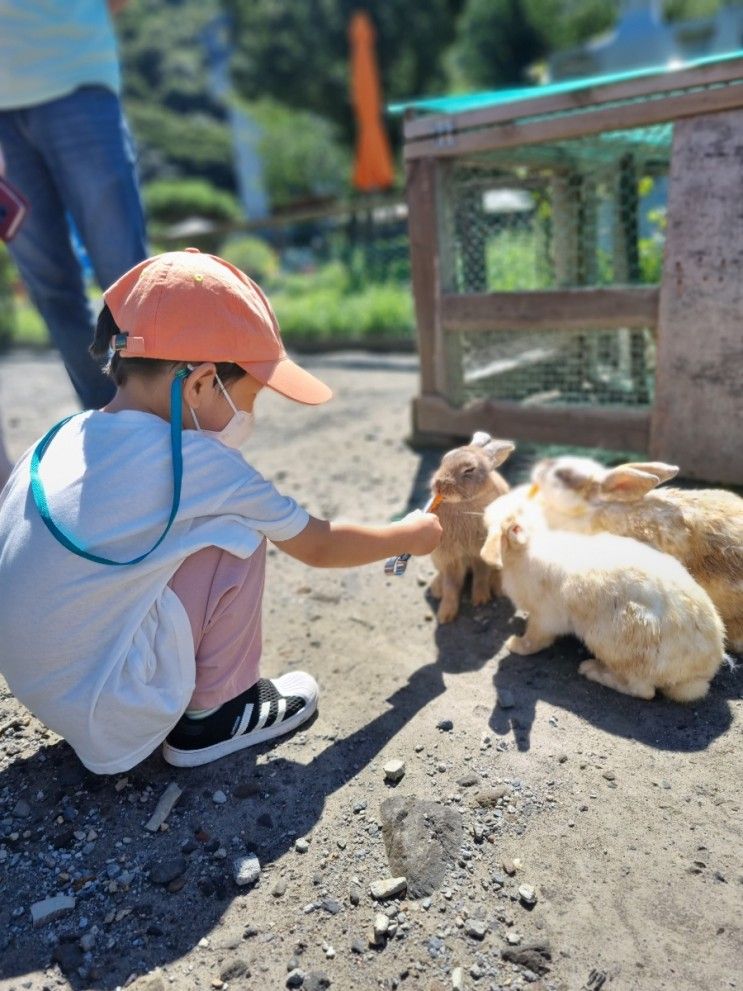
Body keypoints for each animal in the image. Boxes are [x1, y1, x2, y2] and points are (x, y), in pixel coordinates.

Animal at [428, 432, 516, 624]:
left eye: (469, 470)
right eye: (444, 459)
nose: (438, 484)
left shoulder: (479, 554)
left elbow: (481, 576)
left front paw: (480, 599)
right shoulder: (450, 558)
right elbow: (451, 585)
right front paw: (445, 615)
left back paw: (499, 589)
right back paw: (436, 589)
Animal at [480, 492, 728, 700]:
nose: (488, 507)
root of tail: (701, 671)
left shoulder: (543, 618)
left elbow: (535, 639)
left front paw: (515, 644)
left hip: (618, 639)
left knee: (643, 691)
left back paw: (592, 670)